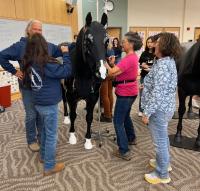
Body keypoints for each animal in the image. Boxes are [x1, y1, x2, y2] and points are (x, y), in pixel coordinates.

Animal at [63, 12, 108, 149]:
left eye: (107, 40)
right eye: (88, 40)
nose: (101, 73)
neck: (83, 74)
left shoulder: (92, 97)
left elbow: (89, 117)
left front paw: (88, 140)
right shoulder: (71, 96)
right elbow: (73, 115)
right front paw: (72, 136)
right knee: (64, 103)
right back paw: (65, 118)